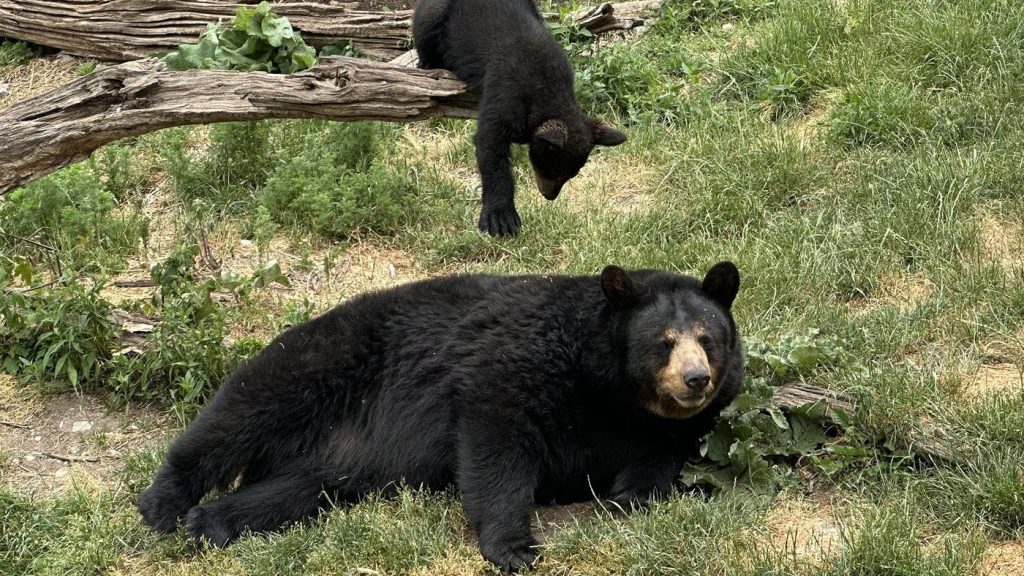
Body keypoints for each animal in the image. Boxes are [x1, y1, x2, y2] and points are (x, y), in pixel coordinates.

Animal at [138, 262, 745, 569]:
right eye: (664, 342)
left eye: (707, 338)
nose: (696, 379)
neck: (612, 388)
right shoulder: (521, 361)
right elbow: (497, 437)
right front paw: (514, 546)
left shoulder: (674, 426)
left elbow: (658, 461)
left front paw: (628, 497)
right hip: (323, 360)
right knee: (239, 413)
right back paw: (164, 504)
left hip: (331, 464)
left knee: (295, 491)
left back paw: (213, 522)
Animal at [411, 0, 626, 235]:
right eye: (552, 169)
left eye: (572, 174)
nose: (549, 196)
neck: (548, 91)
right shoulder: (506, 95)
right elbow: (491, 149)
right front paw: (500, 218)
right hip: (434, 14)